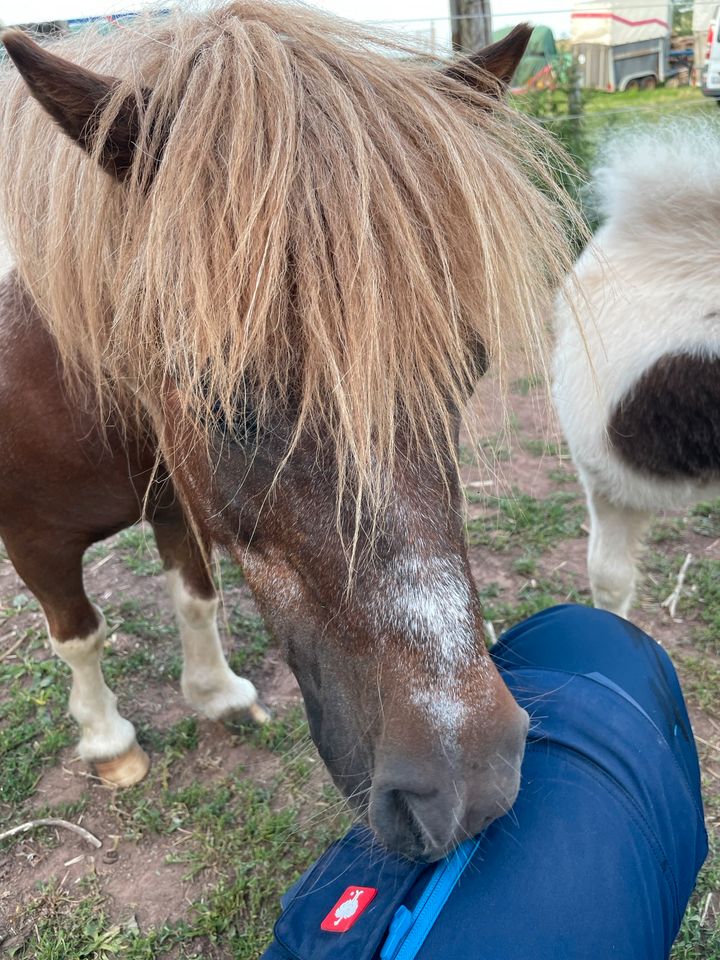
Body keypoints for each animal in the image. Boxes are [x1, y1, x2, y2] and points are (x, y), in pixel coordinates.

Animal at [0, 3, 572, 860]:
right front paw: (109, 744)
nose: (467, 789)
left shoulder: (178, 491)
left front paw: (218, 694)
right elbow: (81, 636)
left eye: (469, 368)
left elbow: (195, 595)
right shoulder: (35, 537)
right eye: (217, 395)